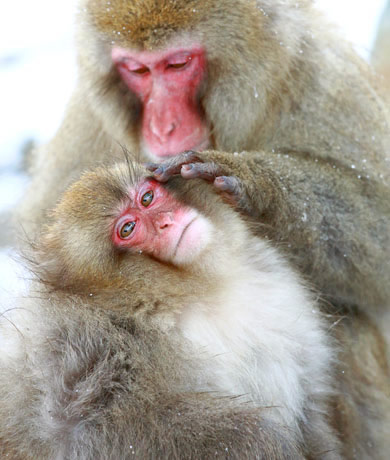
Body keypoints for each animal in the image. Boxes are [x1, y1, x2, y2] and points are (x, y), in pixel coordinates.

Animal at [1, 160, 388, 458]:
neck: (201, 291)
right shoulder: (89, 346)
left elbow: (312, 410)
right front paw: (261, 437)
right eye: (127, 229)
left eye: (147, 197)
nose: (167, 222)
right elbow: (95, 428)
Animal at [20, 0, 390, 312]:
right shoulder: (88, 117)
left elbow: (378, 230)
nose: (162, 127)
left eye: (178, 64)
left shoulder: (319, 76)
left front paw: (252, 181)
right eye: (137, 70)